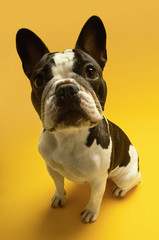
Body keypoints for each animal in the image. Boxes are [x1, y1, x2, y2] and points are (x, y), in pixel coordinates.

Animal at [15, 16, 140, 223]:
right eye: (39, 80)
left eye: (90, 71)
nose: (65, 89)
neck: (69, 135)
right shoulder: (52, 168)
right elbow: (58, 184)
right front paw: (59, 197)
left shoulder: (98, 180)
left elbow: (95, 197)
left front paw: (90, 212)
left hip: (125, 175)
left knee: (135, 180)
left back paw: (121, 190)